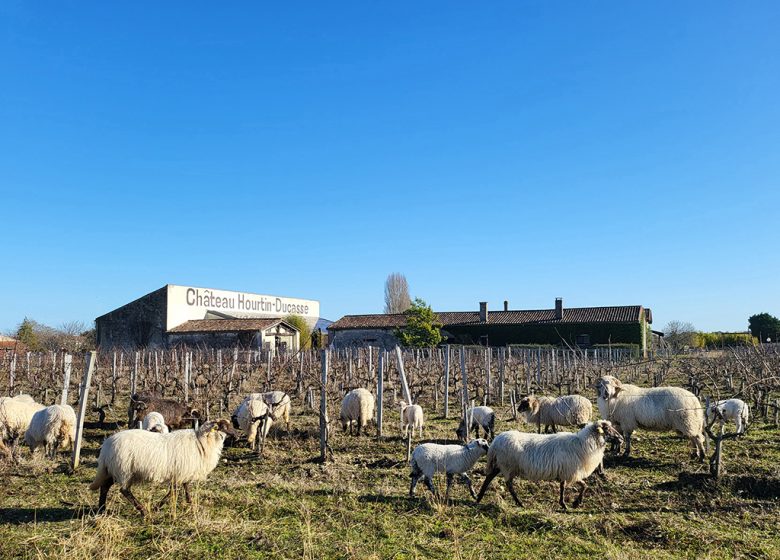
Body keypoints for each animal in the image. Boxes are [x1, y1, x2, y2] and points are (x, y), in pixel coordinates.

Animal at [89, 420, 236, 516]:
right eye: (225, 426)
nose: (237, 434)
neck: (202, 442)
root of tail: (106, 445)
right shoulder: (180, 472)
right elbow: (174, 491)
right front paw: (156, 507)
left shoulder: (182, 472)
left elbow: (183, 487)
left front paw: (189, 501)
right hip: (124, 470)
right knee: (124, 490)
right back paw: (143, 511)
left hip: (112, 469)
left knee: (105, 487)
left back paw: (101, 509)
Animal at [472, 420, 624, 508]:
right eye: (607, 429)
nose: (621, 438)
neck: (583, 444)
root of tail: (496, 441)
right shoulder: (571, 471)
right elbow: (583, 485)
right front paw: (574, 503)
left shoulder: (565, 472)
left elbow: (566, 487)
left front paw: (565, 503)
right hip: (508, 465)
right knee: (508, 484)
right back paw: (519, 503)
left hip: (501, 464)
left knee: (489, 477)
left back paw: (479, 498)